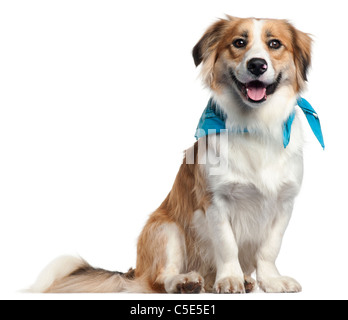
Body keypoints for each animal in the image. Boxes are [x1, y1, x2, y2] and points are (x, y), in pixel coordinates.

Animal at [31, 16, 316, 294]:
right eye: (239, 42)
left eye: (275, 44)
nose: (257, 65)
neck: (255, 126)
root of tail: (135, 270)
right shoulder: (215, 201)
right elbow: (227, 244)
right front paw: (230, 278)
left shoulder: (284, 202)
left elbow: (269, 248)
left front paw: (271, 281)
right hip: (166, 229)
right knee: (160, 279)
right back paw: (185, 281)